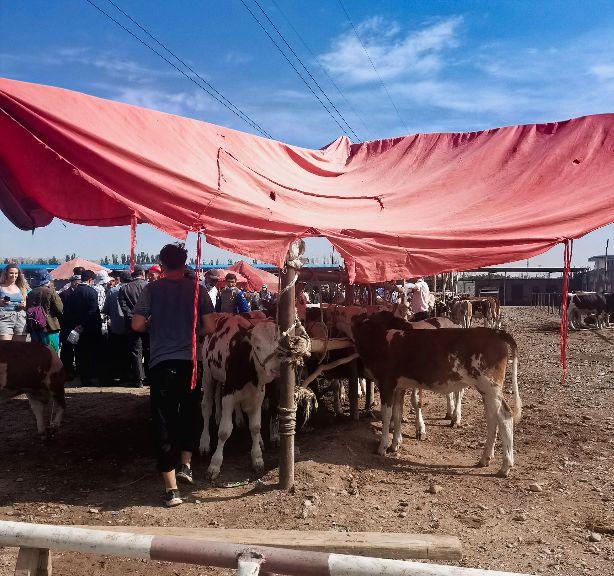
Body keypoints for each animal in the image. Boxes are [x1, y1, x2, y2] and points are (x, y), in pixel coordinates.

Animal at [348, 312, 524, 480]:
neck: (380, 338)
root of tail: (495, 332)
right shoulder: (399, 387)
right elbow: (397, 413)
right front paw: (394, 444)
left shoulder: (386, 383)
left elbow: (387, 415)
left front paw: (382, 447)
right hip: (486, 390)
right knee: (492, 418)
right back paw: (485, 458)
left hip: (490, 385)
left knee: (505, 416)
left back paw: (505, 466)